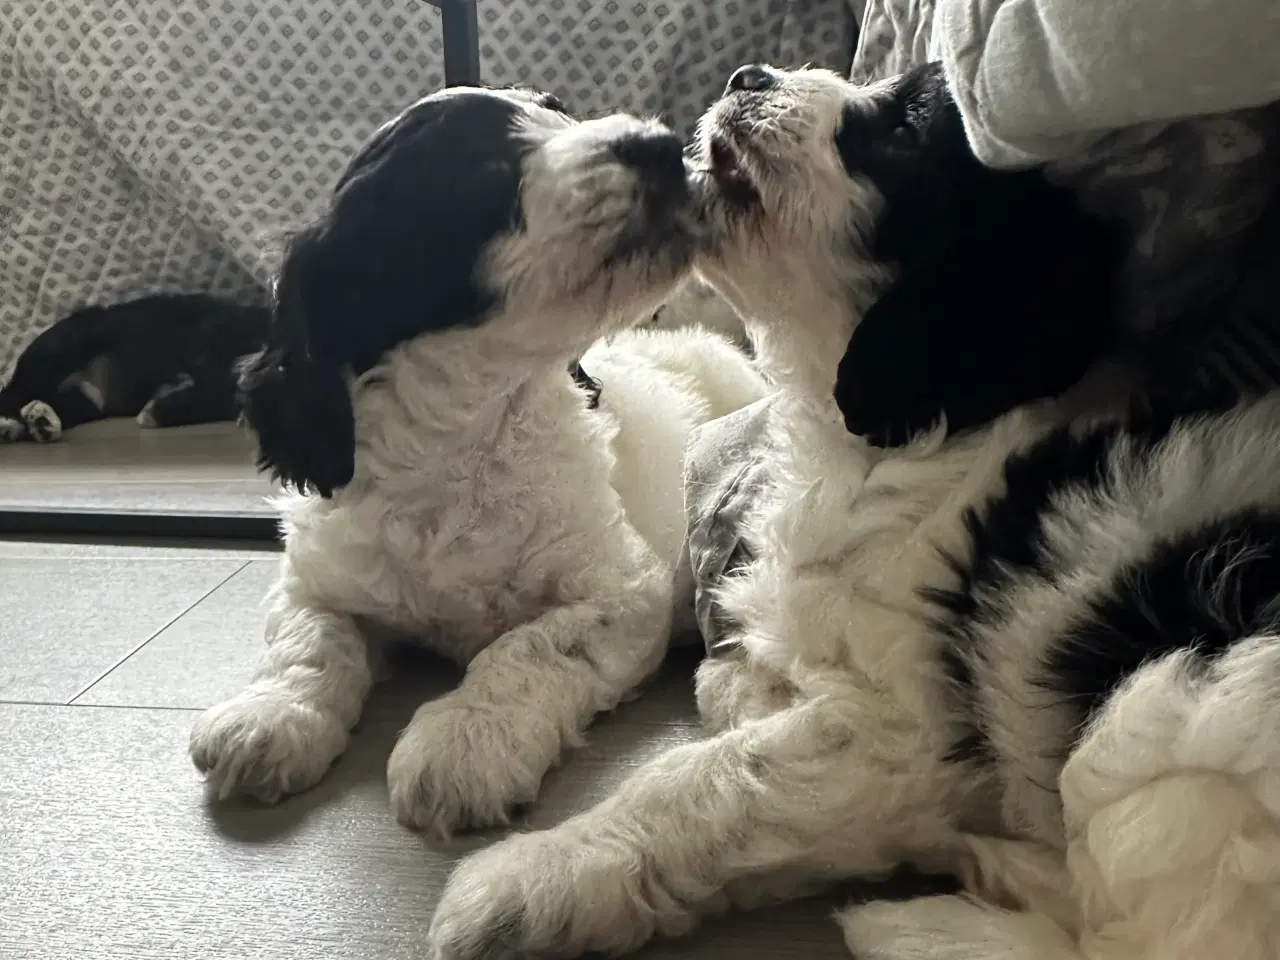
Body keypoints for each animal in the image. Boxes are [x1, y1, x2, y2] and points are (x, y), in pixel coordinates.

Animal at [0, 293, 267, 442]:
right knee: (13, 393)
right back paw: (11, 424)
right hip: (58, 350)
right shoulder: (206, 337)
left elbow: (209, 398)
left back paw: (40, 422)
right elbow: (207, 377)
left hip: (84, 402)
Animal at [186, 88, 768, 839]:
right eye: (481, 171)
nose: (662, 144)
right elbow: (309, 639)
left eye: (563, 112)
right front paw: (272, 716)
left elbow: (525, 648)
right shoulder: (314, 577)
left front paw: (465, 738)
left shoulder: (619, 590)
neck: (464, 438)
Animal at [427, 65, 1280, 960]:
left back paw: (920, 921)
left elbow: (707, 781)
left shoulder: (893, 735)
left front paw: (526, 880)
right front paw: (741, 684)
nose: (748, 75)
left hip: (1180, 701)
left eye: (905, 126)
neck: (904, 435)